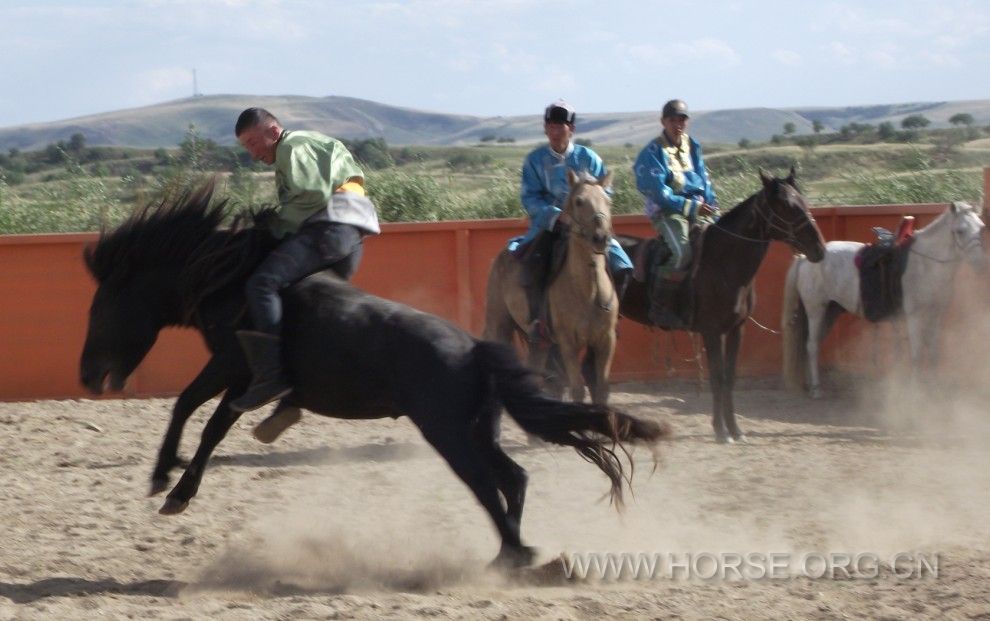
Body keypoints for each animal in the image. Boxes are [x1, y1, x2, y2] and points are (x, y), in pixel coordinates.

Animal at [482, 171, 616, 402]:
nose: (600, 237)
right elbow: (577, 388)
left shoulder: (606, 341)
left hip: (539, 342)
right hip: (499, 323)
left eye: (607, 200)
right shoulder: (568, 342)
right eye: (579, 201)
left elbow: (601, 389)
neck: (587, 291)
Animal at [620, 168, 828, 440]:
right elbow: (717, 378)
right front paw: (720, 430)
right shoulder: (711, 332)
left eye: (803, 201)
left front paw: (735, 430)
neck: (723, 263)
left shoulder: (736, 329)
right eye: (786, 206)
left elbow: (729, 378)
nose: (819, 248)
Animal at [788, 203, 988, 398]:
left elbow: (933, 352)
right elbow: (916, 354)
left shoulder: (936, 315)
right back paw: (816, 389)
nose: (980, 263)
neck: (926, 265)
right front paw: (916, 392)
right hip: (816, 309)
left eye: (981, 227)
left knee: (812, 342)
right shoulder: (915, 317)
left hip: (831, 310)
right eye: (960, 231)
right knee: (812, 345)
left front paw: (934, 389)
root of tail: (805, 258)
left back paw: (810, 384)